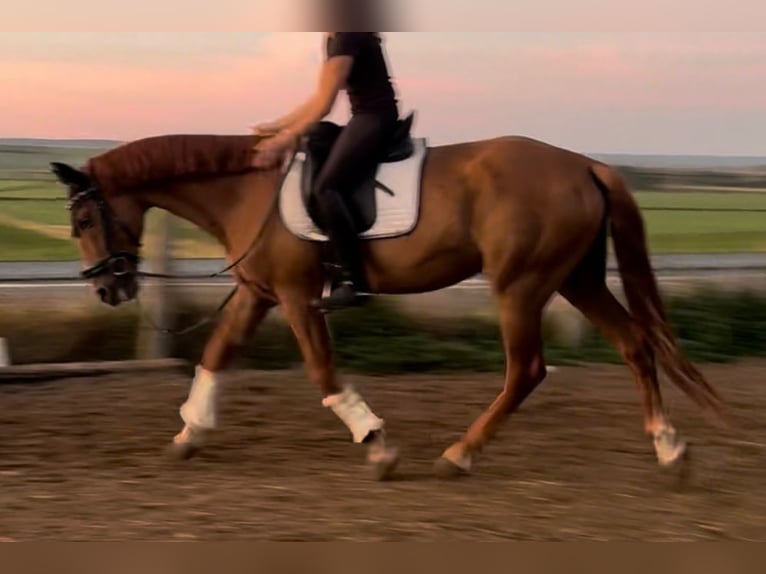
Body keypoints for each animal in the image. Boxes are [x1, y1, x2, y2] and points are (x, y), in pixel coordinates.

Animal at [50, 115, 728, 481]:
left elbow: (322, 371)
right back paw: (669, 449)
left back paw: (459, 455)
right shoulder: (259, 292)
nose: (108, 288)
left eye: (83, 220)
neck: (247, 190)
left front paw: (377, 444)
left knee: (527, 369)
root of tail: (585, 165)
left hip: (521, 284)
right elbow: (215, 356)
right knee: (635, 344)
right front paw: (188, 436)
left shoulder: (297, 296)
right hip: (576, 279)